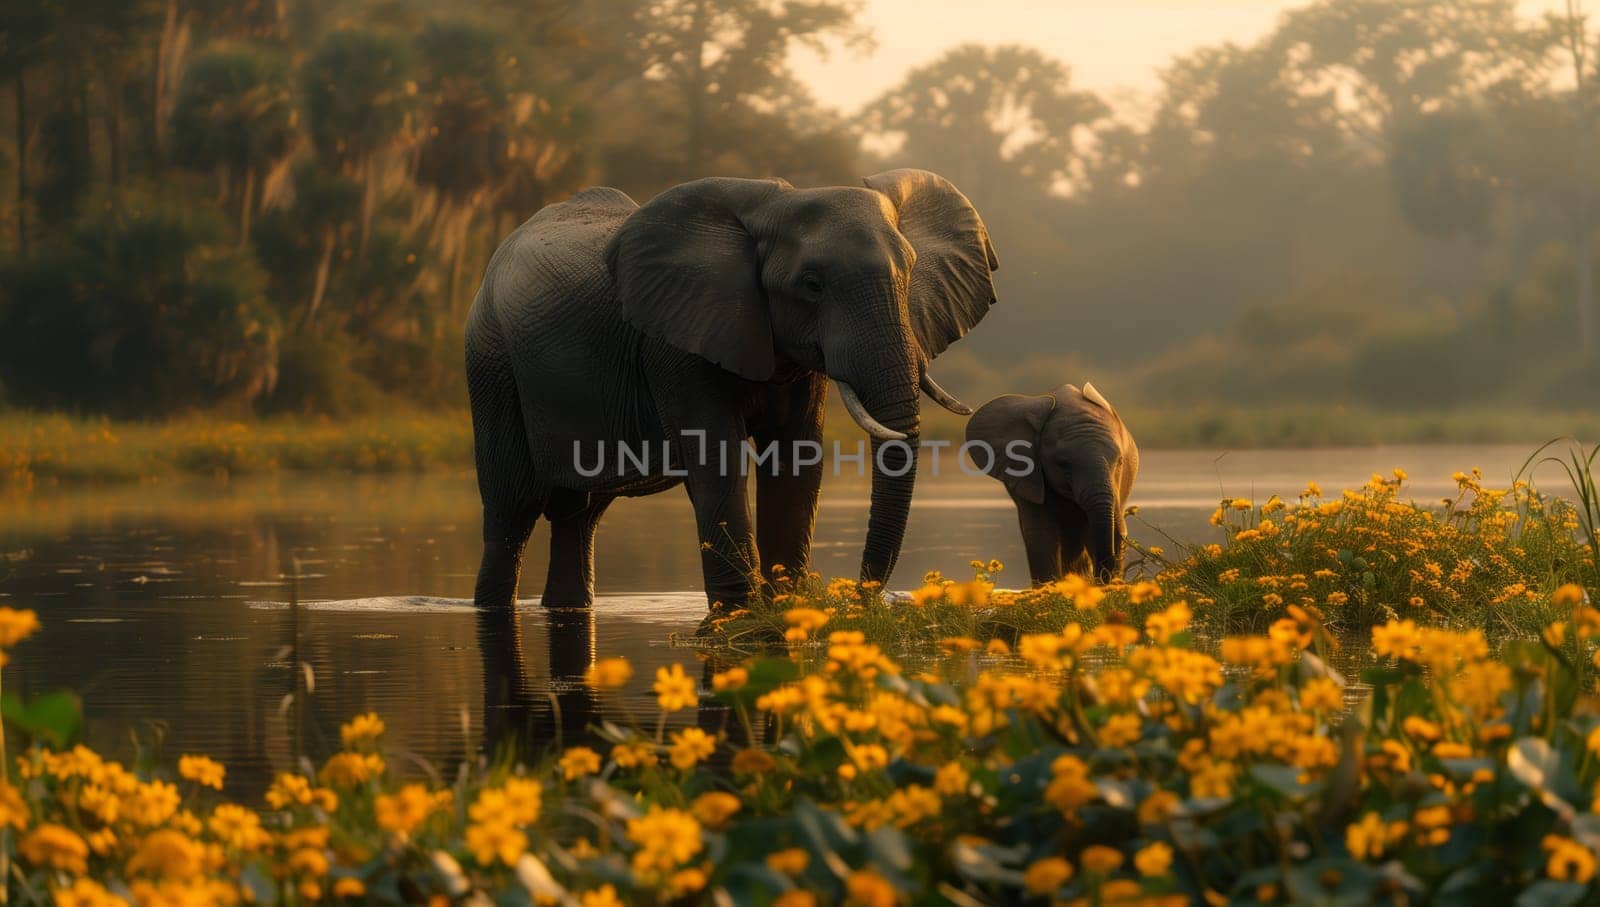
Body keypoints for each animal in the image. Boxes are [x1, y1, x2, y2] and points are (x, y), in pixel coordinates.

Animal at [464, 170, 992, 617]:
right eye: (812, 286)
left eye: (911, 272)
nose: (867, 600)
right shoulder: (676, 342)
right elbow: (719, 460)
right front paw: (740, 614)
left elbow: (797, 460)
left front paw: (785, 607)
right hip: (491, 361)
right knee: (513, 506)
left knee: (580, 514)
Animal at [960, 382, 1139, 582]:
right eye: (1063, 463)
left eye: (1120, 462)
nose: (1103, 578)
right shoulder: (1027, 476)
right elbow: (1041, 535)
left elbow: (1111, 529)